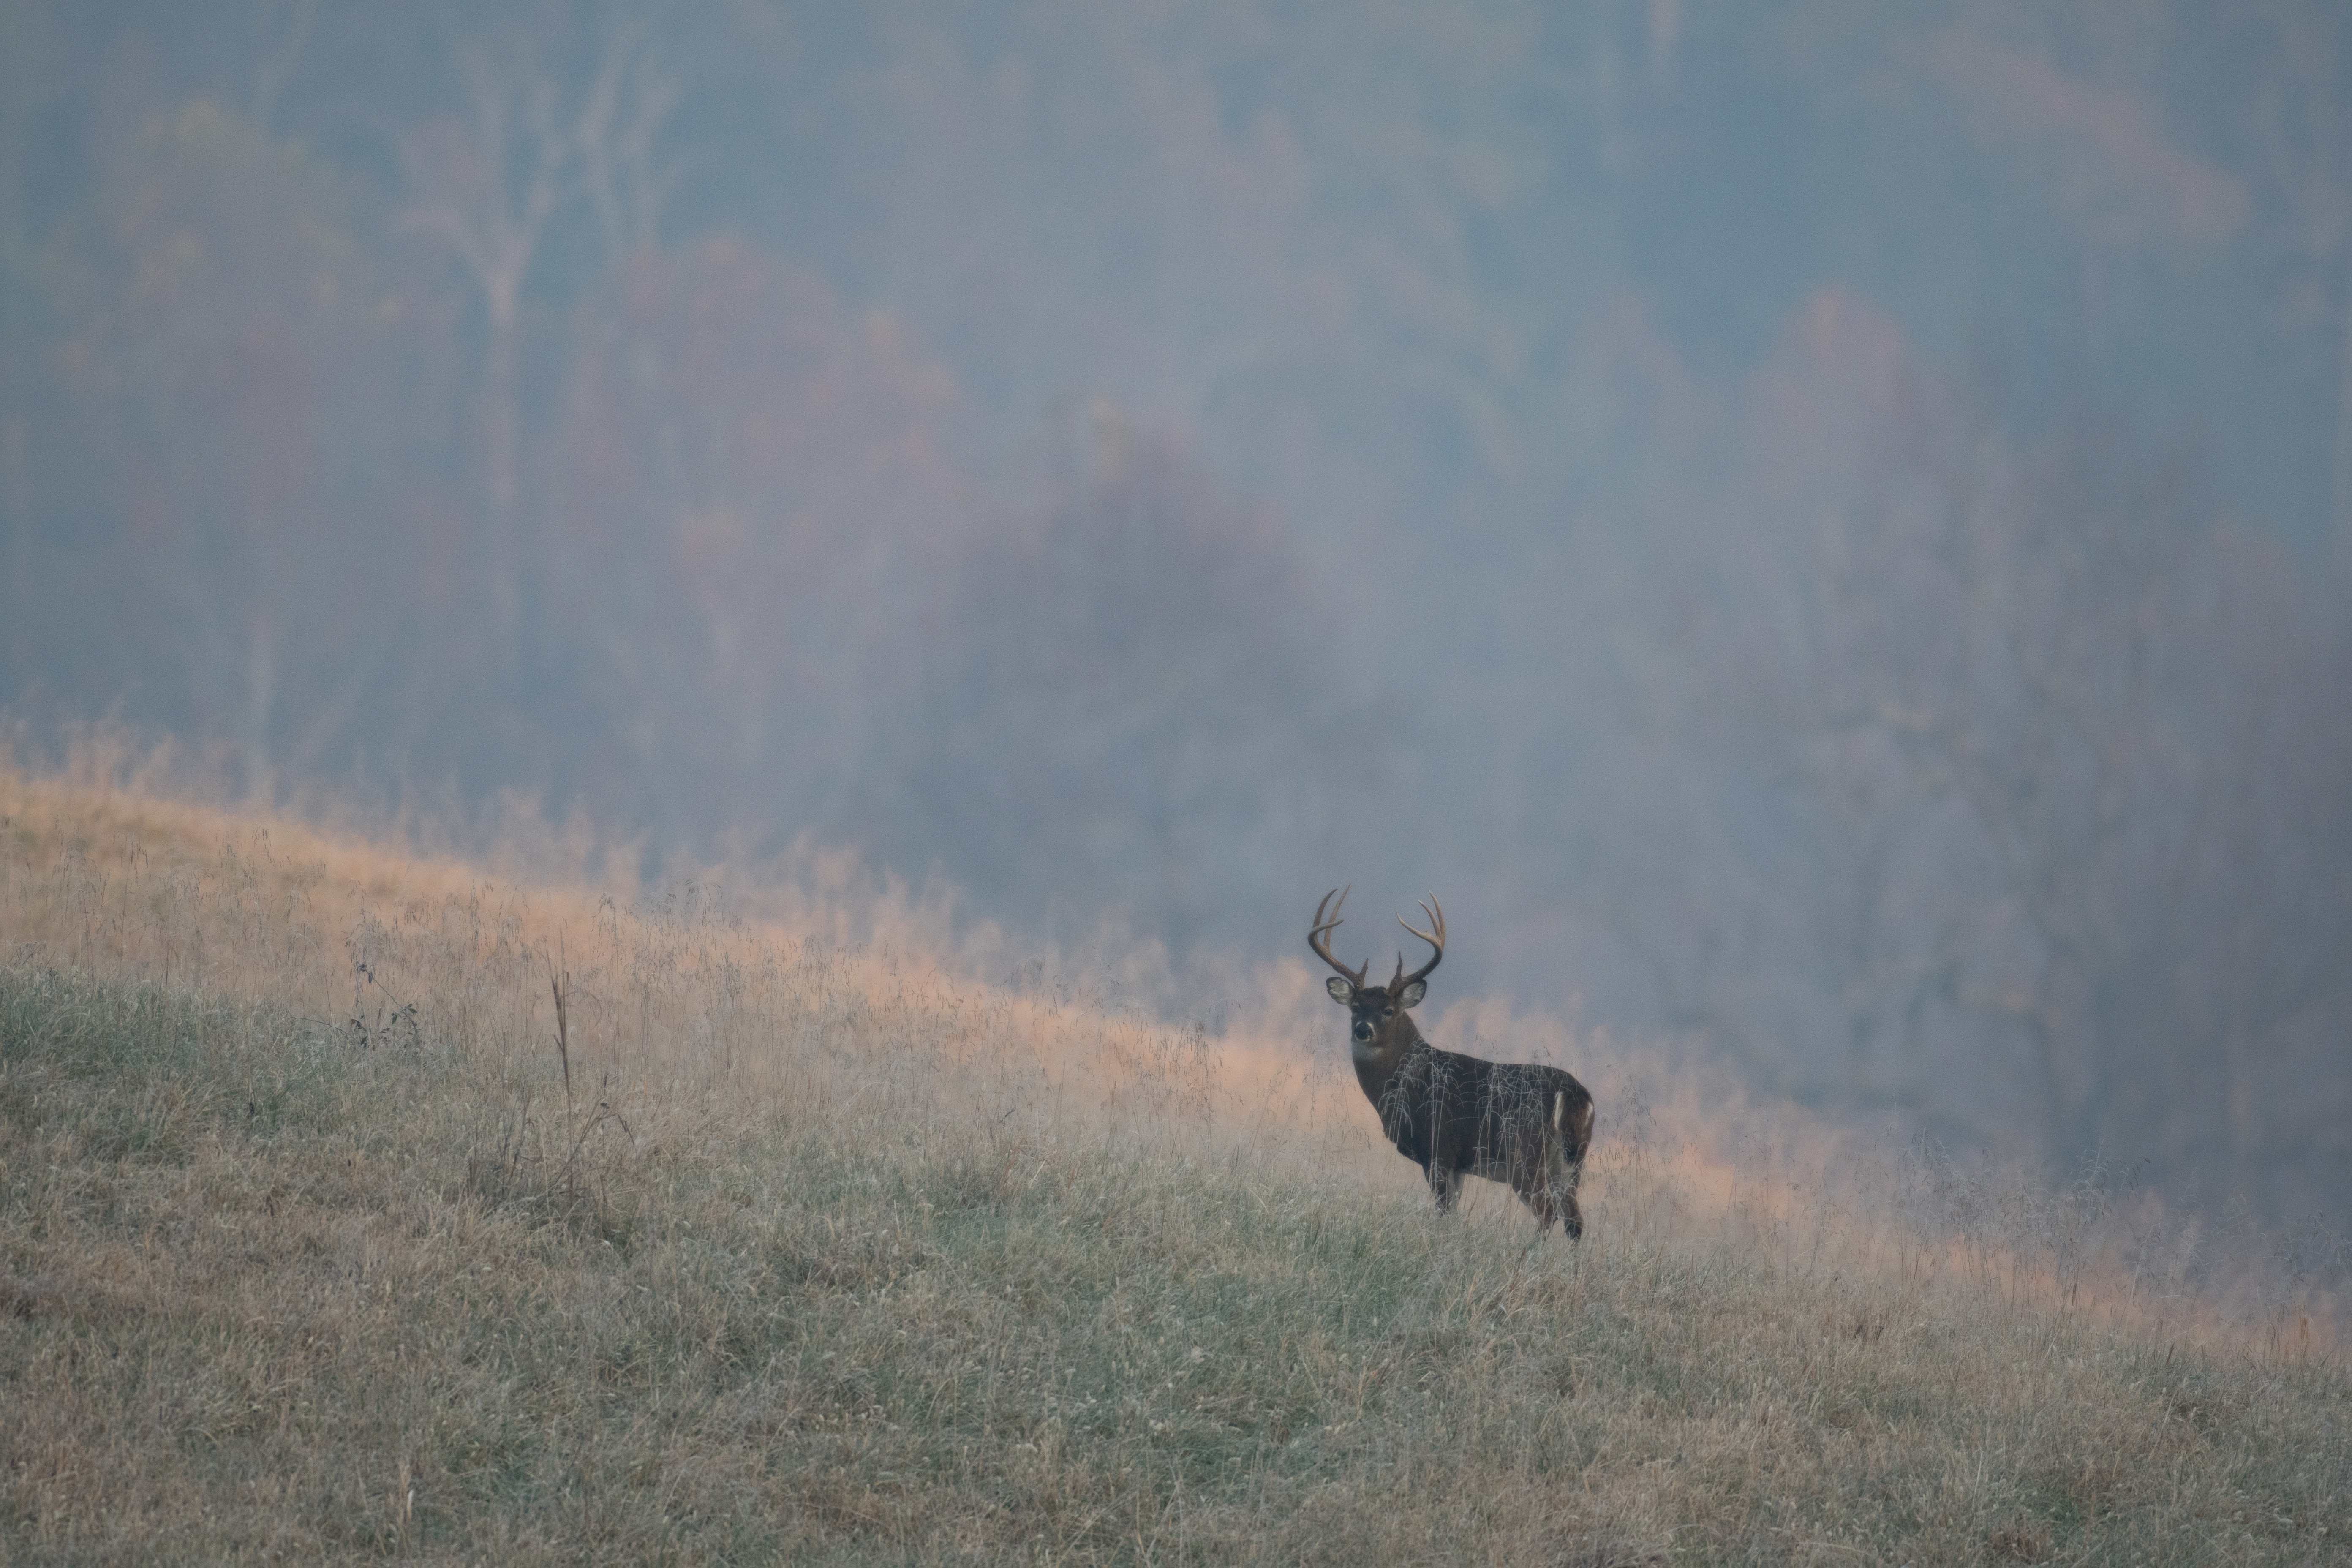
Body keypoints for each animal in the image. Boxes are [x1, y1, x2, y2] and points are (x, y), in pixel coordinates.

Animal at [1317, 884, 1590, 1241]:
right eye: (1355, 1008)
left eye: (1388, 1010)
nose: (1363, 1030)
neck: (1410, 1083)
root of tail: (1575, 1094)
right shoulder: (1458, 1164)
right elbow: (1453, 1215)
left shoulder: (1439, 1150)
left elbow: (1444, 1214)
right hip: (1572, 1161)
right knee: (1575, 1221)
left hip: (1526, 1153)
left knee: (1548, 1212)